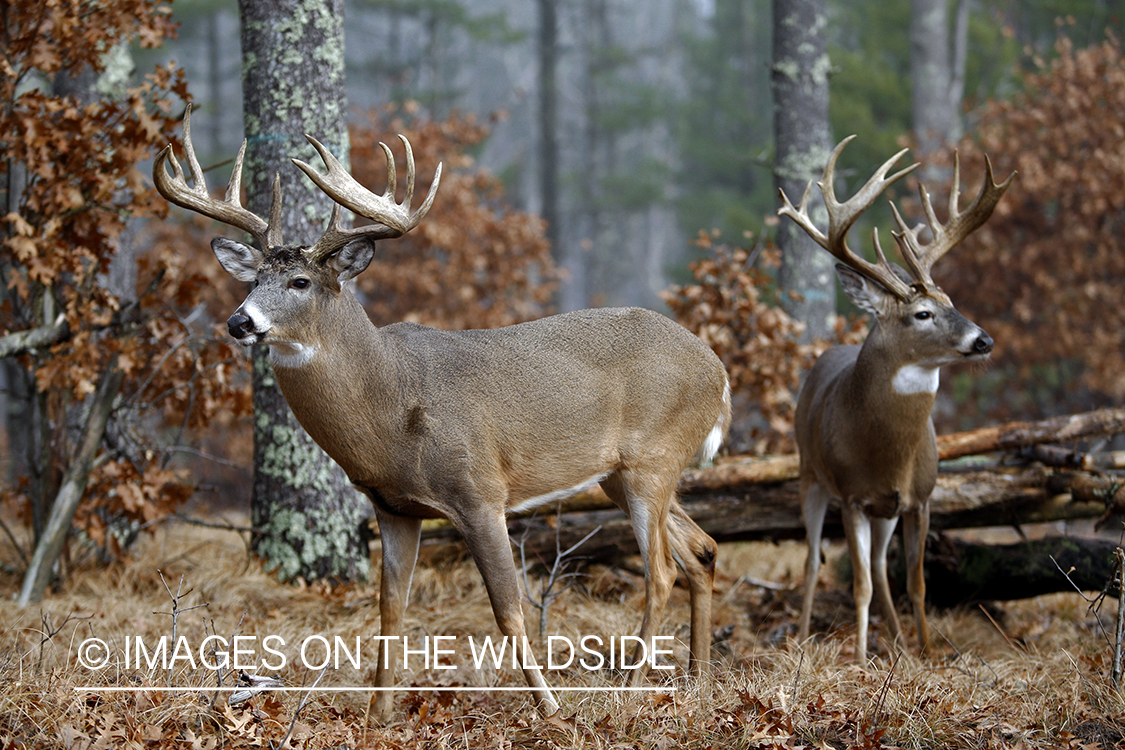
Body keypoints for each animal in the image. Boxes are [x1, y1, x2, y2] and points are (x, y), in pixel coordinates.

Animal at [154, 108, 729, 719]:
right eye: (253, 279)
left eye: (300, 281)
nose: (240, 321)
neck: (390, 408)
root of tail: (718, 370)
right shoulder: (392, 507)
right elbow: (390, 610)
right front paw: (378, 716)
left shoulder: (480, 493)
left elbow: (508, 611)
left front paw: (549, 709)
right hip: (618, 475)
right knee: (702, 550)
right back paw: (698, 683)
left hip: (653, 459)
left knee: (662, 570)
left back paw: (631, 688)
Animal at [783, 136, 1012, 661]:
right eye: (922, 313)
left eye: (951, 301)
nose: (983, 340)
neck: (888, 453)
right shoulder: (852, 496)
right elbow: (860, 585)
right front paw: (861, 660)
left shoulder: (919, 498)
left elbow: (916, 583)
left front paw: (925, 652)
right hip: (810, 474)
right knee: (811, 561)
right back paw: (802, 639)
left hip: (884, 511)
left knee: (880, 569)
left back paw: (901, 645)